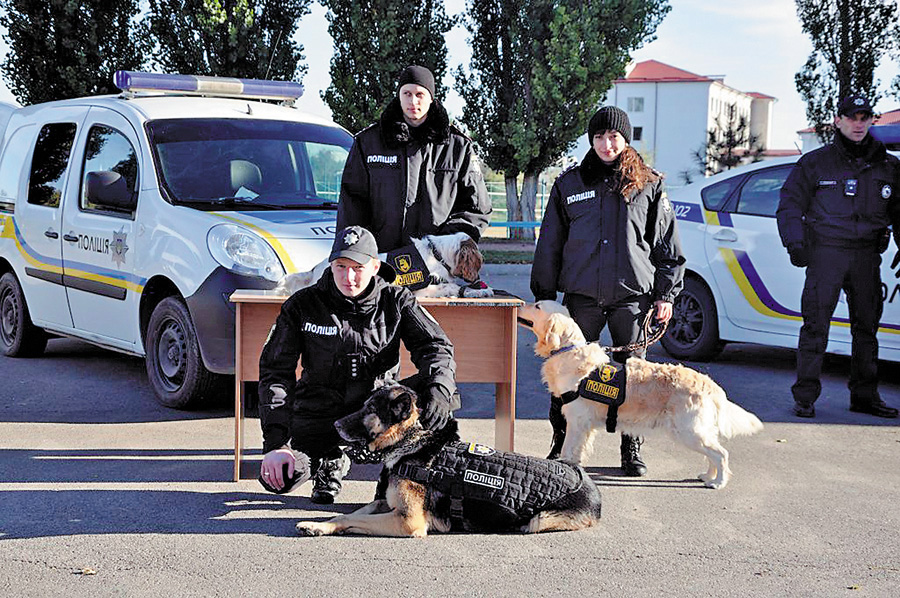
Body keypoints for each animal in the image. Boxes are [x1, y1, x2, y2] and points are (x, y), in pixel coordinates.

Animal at [516, 302, 764, 490]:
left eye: (537, 306)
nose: (520, 303)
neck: (569, 351)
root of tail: (709, 384)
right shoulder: (584, 425)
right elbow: (576, 451)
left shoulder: (577, 421)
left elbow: (568, 449)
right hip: (697, 431)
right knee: (713, 453)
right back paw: (708, 476)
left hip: (689, 431)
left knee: (721, 453)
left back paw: (718, 482)